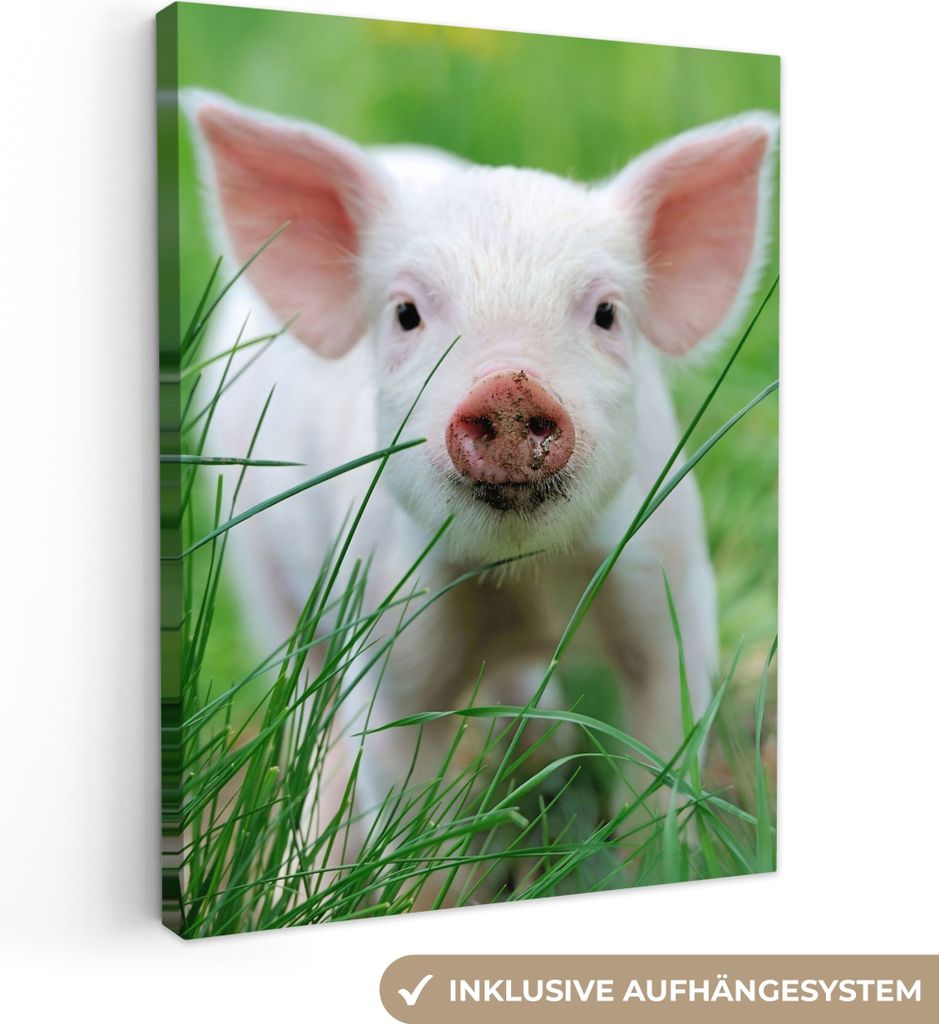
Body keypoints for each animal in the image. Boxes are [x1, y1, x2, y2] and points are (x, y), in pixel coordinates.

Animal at [184, 92, 777, 865]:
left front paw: (654, 864)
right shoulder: (386, 620)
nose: (510, 388)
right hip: (260, 568)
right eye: (405, 313)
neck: (522, 577)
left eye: (606, 313)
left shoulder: (670, 586)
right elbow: (400, 784)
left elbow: (660, 751)